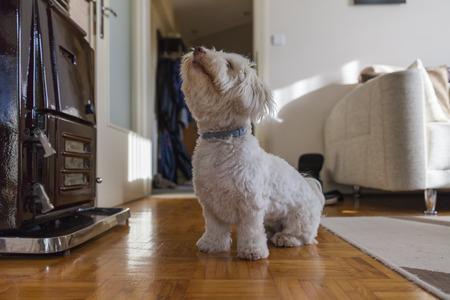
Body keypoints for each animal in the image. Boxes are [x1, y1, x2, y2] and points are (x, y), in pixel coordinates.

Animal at [179, 47, 324, 260]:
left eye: (229, 64)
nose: (199, 49)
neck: (221, 139)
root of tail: (311, 186)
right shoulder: (210, 204)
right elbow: (215, 228)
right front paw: (212, 245)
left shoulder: (251, 204)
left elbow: (251, 230)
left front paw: (252, 250)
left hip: (300, 218)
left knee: (303, 236)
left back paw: (286, 239)